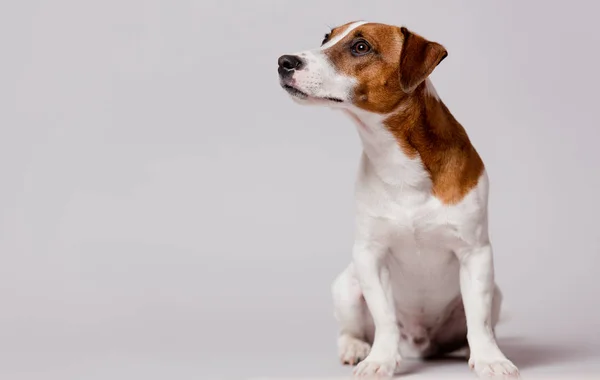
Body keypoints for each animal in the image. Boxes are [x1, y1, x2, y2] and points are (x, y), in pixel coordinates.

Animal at [278, 21, 516, 380]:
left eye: (361, 47)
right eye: (326, 38)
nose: (284, 62)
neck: (396, 157)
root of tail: (420, 343)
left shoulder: (475, 254)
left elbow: (480, 318)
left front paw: (490, 358)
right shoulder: (370, 256)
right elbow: (384, 317)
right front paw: (380, 359)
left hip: (494, 294)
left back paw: (465, 348)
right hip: (345, 288)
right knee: (351, 329)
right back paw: (355, 347)